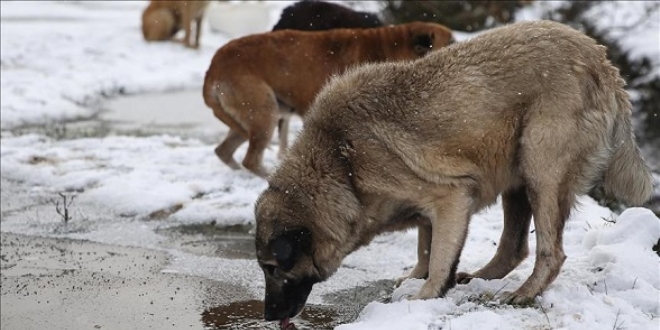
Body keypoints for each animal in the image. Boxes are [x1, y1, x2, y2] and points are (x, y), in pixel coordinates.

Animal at [204, 22, 456, 178]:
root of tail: (214, 67)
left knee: (224, 151)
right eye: (451, 43)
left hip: (250, 118)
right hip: (265, 113)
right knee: (251, 159)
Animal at [255, 19, 652, 326]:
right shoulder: (431, 210)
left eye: (273, 268)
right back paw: (479, 278)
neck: (339, 162)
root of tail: (601, 59)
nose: (268, 316)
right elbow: (426, 249)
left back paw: (522, 294)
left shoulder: (451, 197)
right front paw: (415, 278)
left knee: (550, 254)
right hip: (519, 177)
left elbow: (439, 258)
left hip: (541, 170)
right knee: (514, 247)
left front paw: (423, 295)